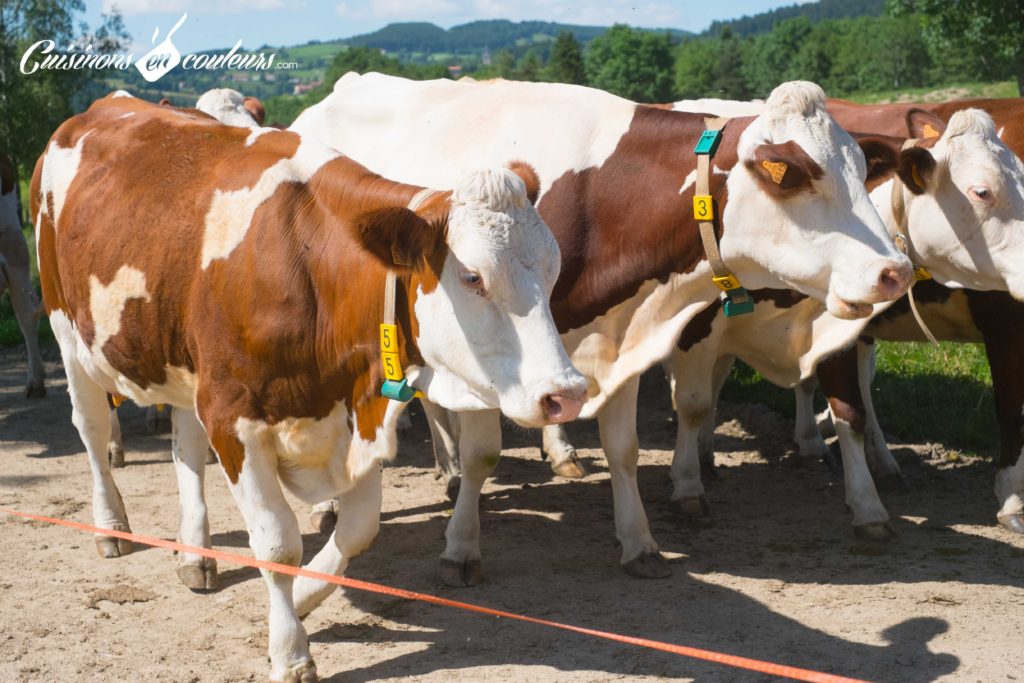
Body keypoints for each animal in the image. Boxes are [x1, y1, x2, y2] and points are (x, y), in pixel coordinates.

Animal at [34, 92, 585, 683]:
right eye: (473, 277)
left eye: (553, 272)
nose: (568, 392)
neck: (309, 269)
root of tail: (102, 105)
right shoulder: (233, 417)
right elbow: (277, 544)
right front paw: (290, 649)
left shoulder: (357, 417)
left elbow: (358, 529)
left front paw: (299, 602)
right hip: (68, 333)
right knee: (93, 432)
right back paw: (111, 526)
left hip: (182, 362)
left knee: (185, 446)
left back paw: (196, 551)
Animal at [292, 72, 917, 581]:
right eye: (796, 177)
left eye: (863, 172)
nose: (897, 271)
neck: (601, 204)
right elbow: (482, 456)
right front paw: (461, 548)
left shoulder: (620, 342)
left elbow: (624, 448)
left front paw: (639, 541)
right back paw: (333, 502)